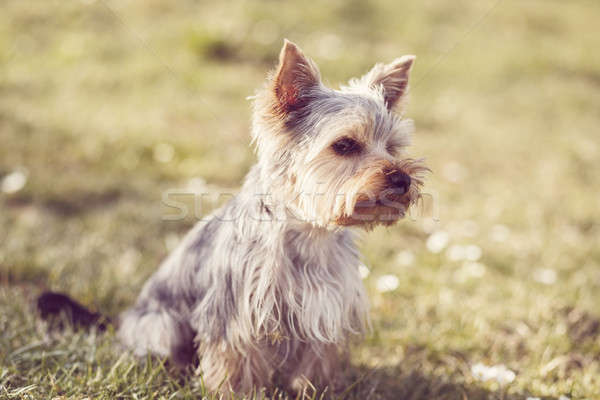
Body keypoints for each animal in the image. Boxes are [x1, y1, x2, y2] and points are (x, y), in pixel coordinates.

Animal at [36, 39, 426, 396]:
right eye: (344, 145)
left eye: (393, 147)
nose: (402, 179)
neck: (311, 232)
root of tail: (120, 321)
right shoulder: (236, 315)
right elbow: (235, 365)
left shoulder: (323, 310)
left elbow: (315, 365)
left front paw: (315, 391)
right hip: (160, 324)